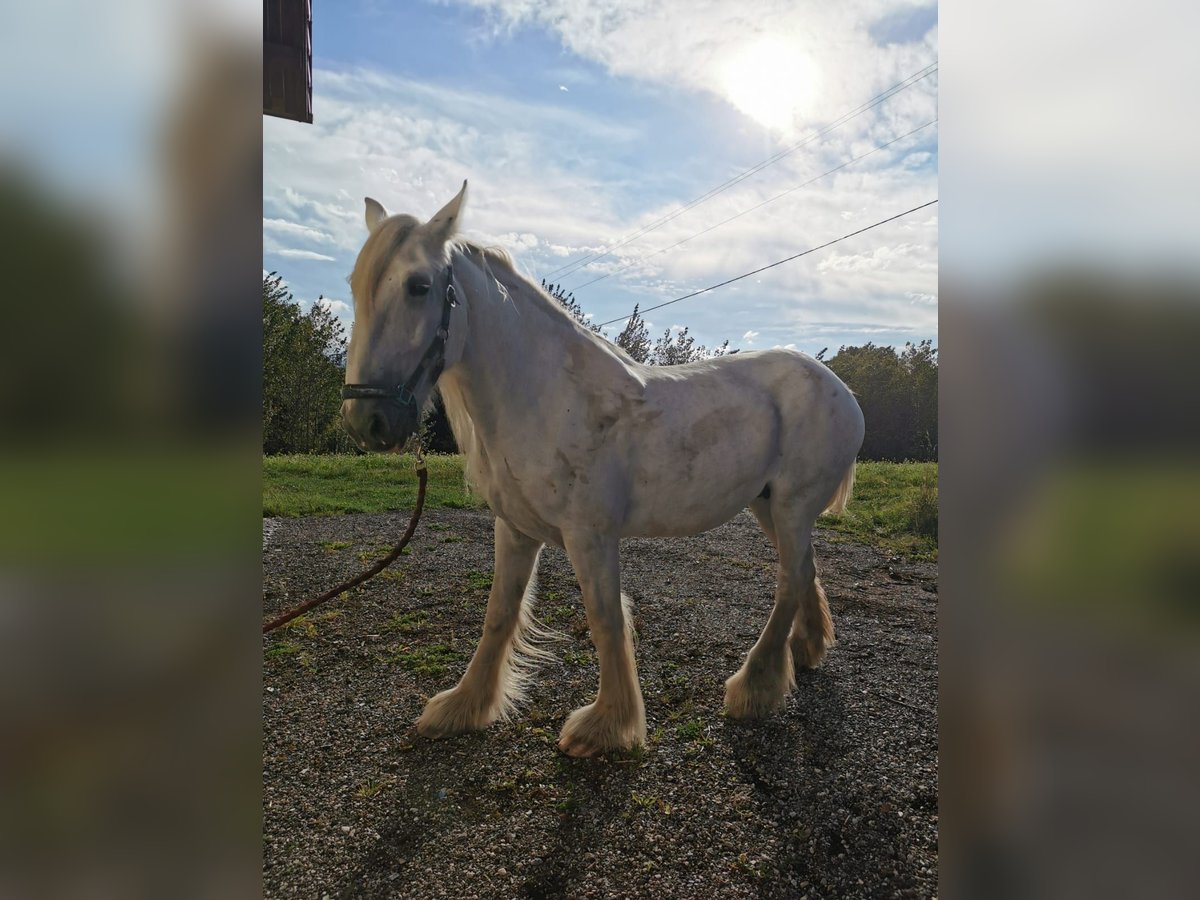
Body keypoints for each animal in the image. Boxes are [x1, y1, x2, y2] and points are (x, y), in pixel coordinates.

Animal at [341, 182, 865, 757]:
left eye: (419, 286)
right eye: (354, 285)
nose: (367, 421)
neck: (546, 396)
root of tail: (839, 387)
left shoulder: (589, 534)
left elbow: (605, 618)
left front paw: (605, 727)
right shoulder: (516, 529)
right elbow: (499, 614)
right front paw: (462, 707)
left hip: (791, 505)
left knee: (789, 581)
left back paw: (753, 688)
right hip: (767, 505)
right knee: (805, 571)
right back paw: (806, 650)